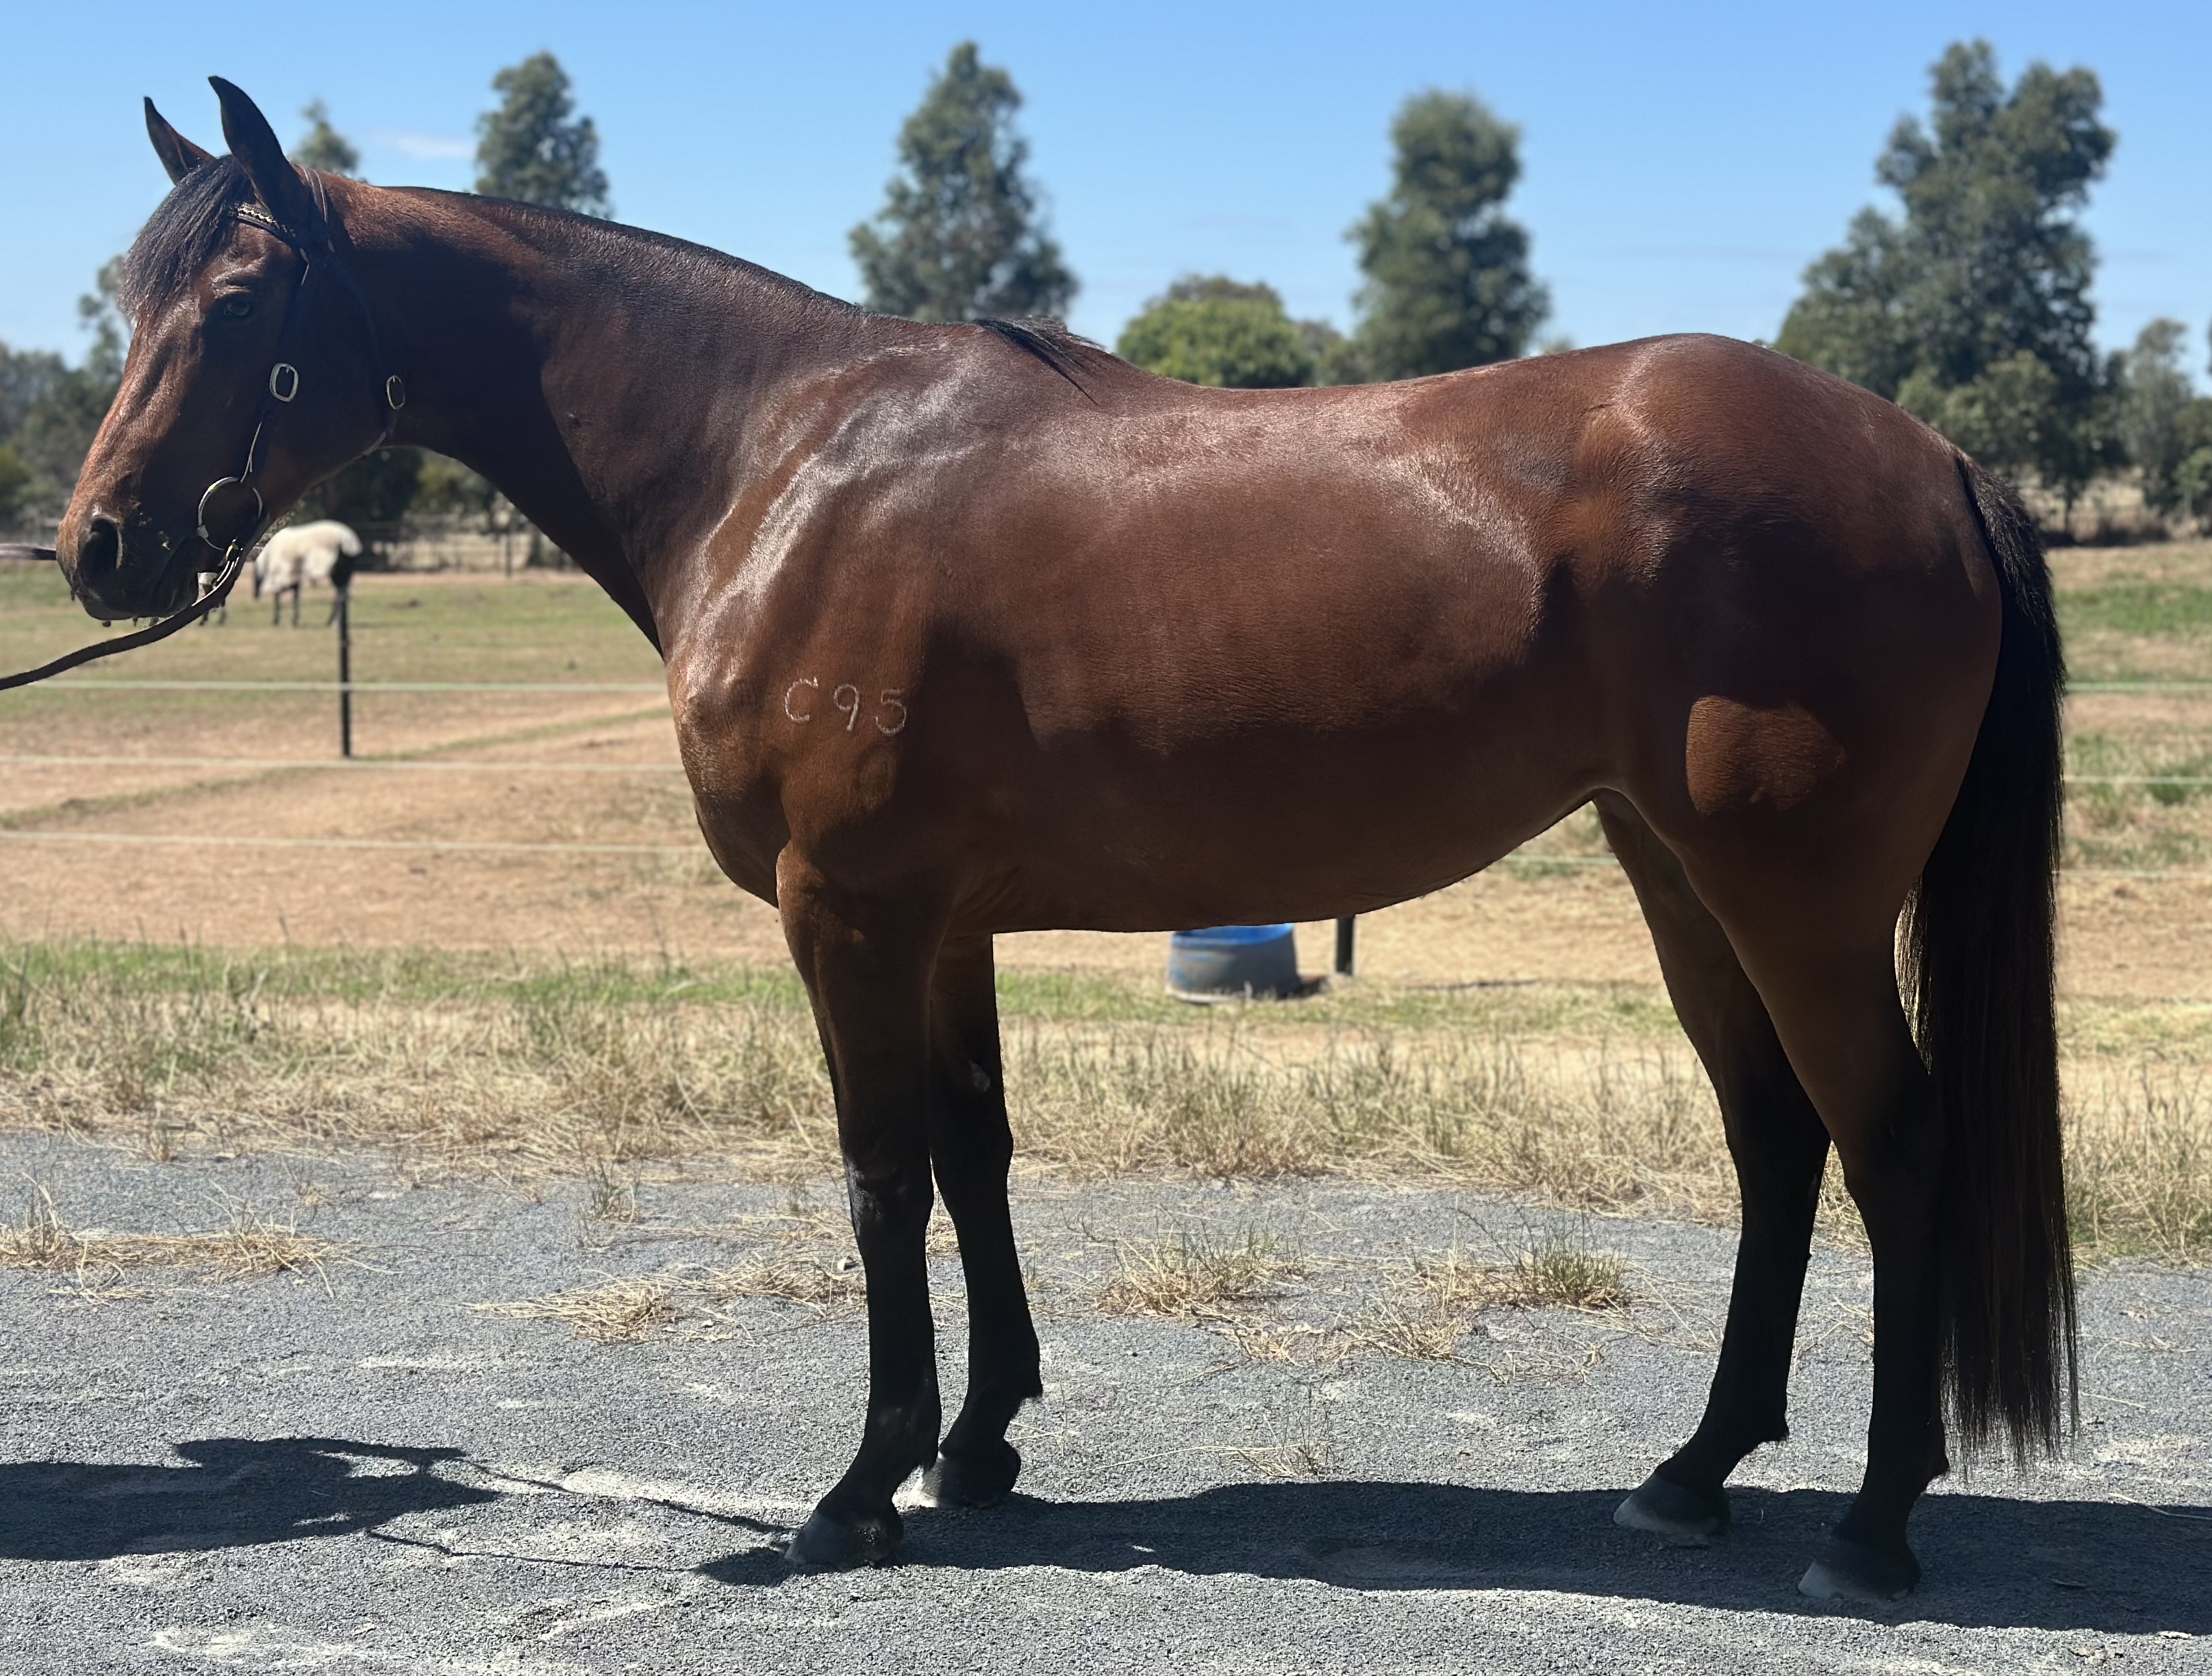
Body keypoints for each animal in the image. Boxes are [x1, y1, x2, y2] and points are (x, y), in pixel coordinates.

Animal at [253, 518, 359, 625]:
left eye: (256, 580)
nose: (256, 596)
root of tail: (349, 540)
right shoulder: (293, 576)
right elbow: (295, 597)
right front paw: (294, 620)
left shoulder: (280, 574)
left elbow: (279, 597)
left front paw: (278, 621)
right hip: (339, 571)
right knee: (342, 592)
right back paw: (333, 621)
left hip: (339, 570)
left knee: (341, 593)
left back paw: (333, 622)